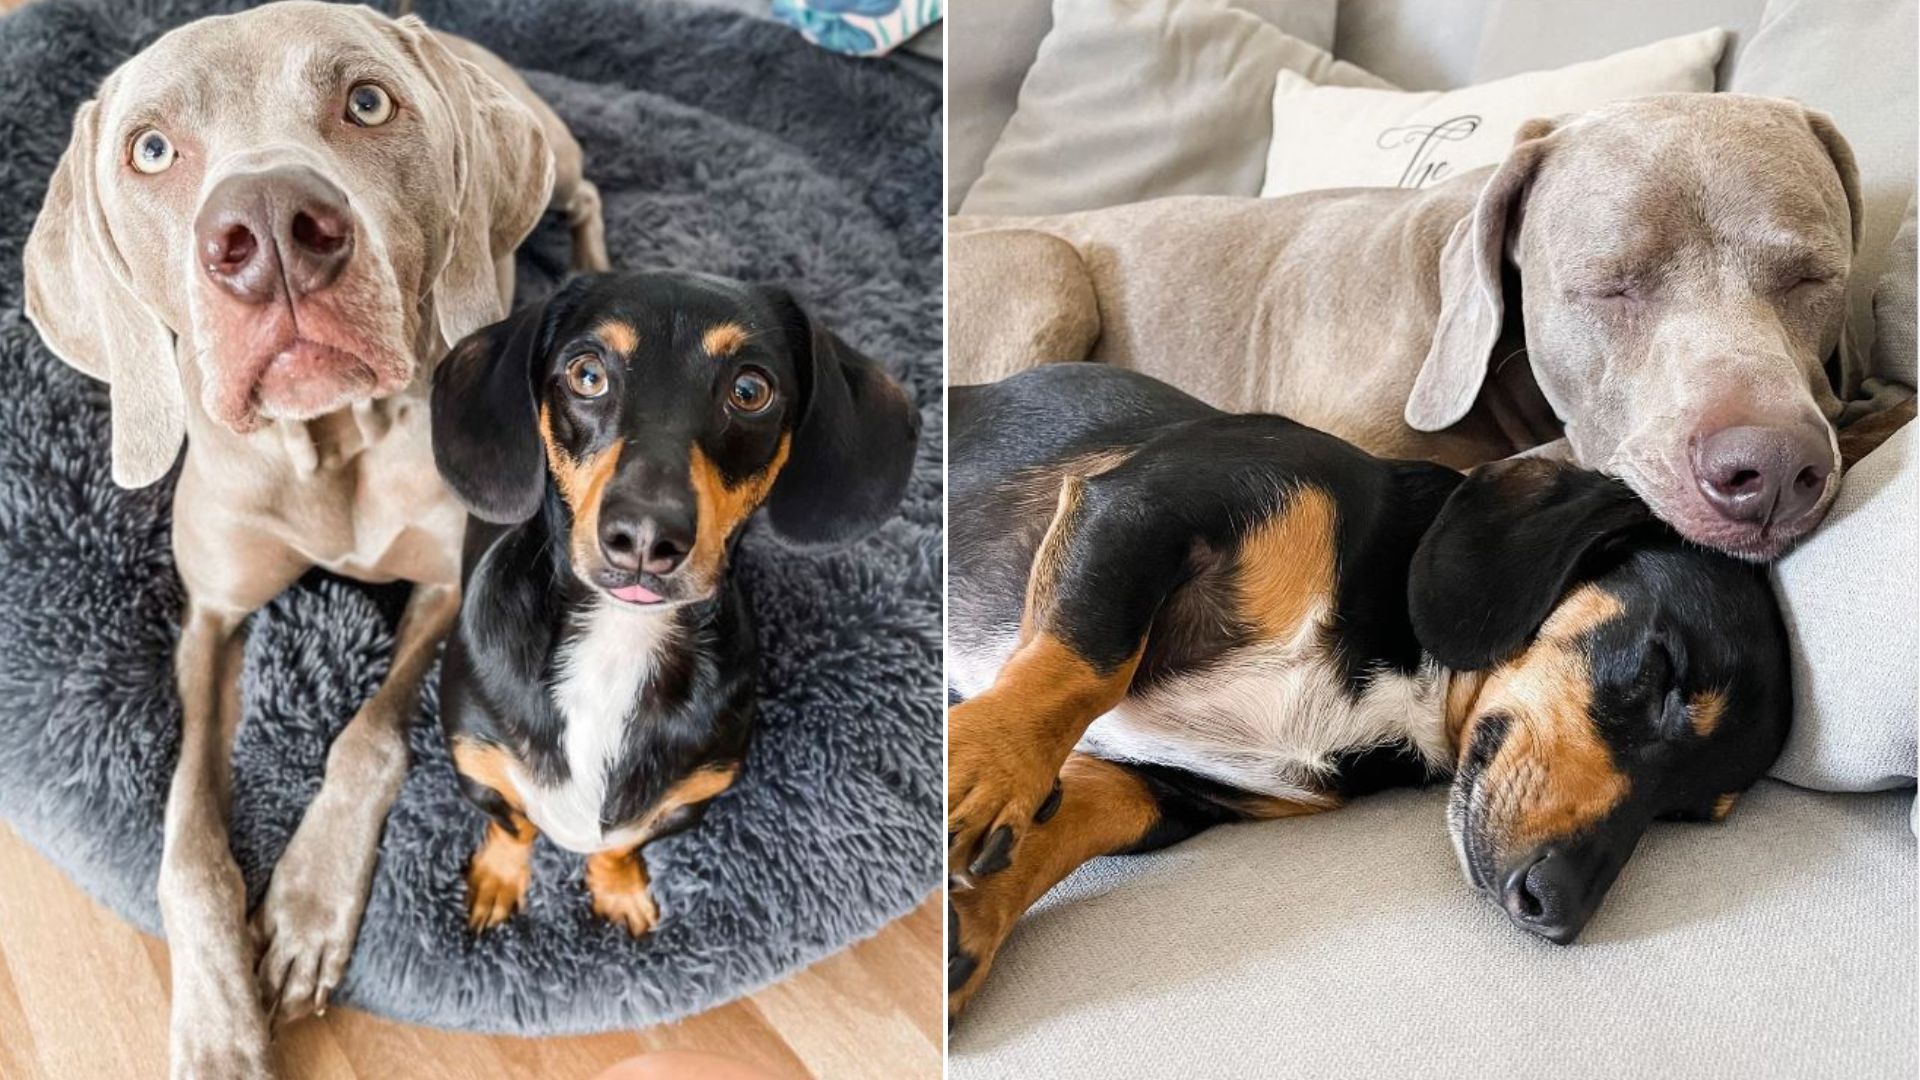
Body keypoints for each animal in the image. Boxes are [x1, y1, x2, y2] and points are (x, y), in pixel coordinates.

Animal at [20, 4, 606, 1068]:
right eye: (150, 149)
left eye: (367, 102)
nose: (268, 233)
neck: (330, 439)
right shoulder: (209, 618)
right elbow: (185, 839)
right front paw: (218, 1026)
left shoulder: (449, 584)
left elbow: (368, 737)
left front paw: (305, 910)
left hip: (557, 149)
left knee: (582, 201)